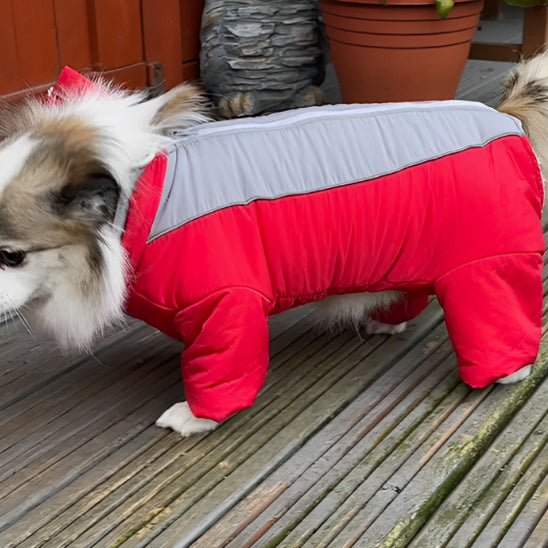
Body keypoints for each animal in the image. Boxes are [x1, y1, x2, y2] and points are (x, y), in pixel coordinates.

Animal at [0, 52, 544, 436]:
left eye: (11, 255)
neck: (145, 198)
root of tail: (503, 116)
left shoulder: (227, 304)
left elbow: (221, 364)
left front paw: (196, 416)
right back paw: (385, 319)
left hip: (485, 266)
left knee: (496, 314)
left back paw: (505, 372)